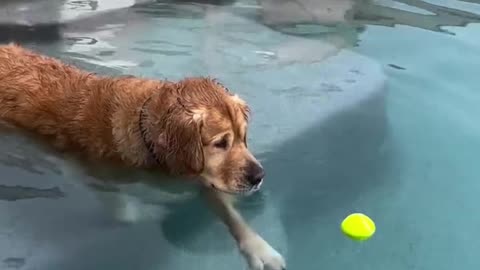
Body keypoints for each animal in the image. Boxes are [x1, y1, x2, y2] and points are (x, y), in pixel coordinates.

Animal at [0, 44, 284, 270]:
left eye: (242, 137)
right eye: (220, 143)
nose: (259, 176)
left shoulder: (201, 177)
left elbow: (230, 214)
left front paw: (259, 248)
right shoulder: (96, 171)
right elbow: (126, 215)